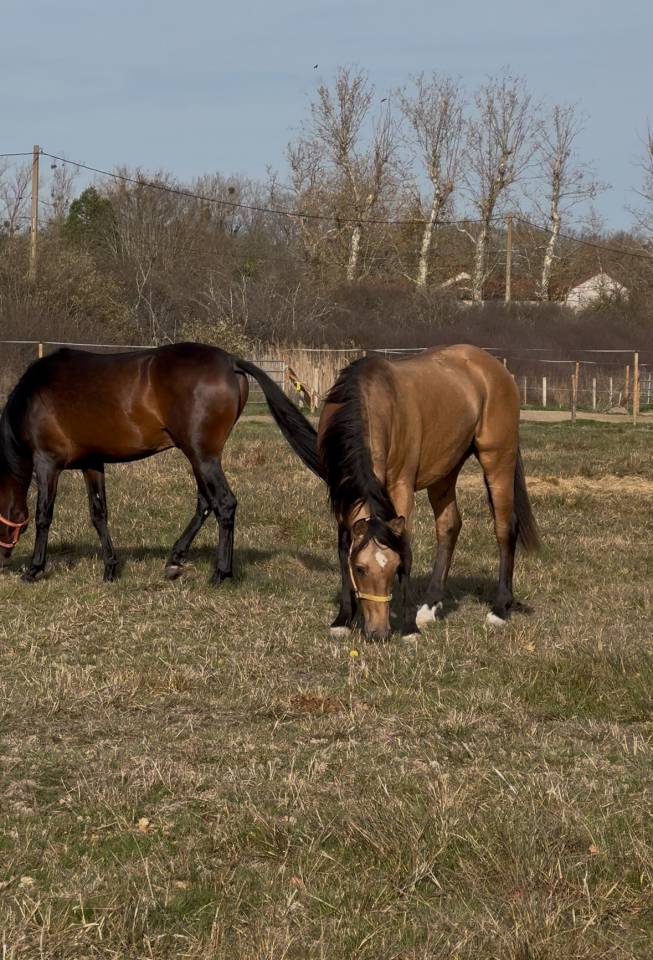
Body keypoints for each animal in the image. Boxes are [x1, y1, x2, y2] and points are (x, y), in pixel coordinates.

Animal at [0, 342, 322, 583]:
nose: (3, 559)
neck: (33, 397)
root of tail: (231, 362)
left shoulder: (47, 463)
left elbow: (43, 515)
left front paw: (34, 569)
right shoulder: (92, 463)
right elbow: (98, 514)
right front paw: (110, 568)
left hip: (202, 456)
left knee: (224, 503)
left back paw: (220, 573)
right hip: (198, 457)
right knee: (205, 503)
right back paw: (175, 560)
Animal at [318, 345, 539, 641]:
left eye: (394, 568)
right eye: (360, 569)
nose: (379, 633)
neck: (367, 399)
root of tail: (494, 367)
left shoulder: (401, 487)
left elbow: (406, 547)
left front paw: (409, 627)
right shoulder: (341, 493)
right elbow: (343, 550)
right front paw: (343, 619)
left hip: (498, 458)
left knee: (505, 528)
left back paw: (499, 609)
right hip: (445, 471)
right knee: (449, 525)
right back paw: (430, 605)